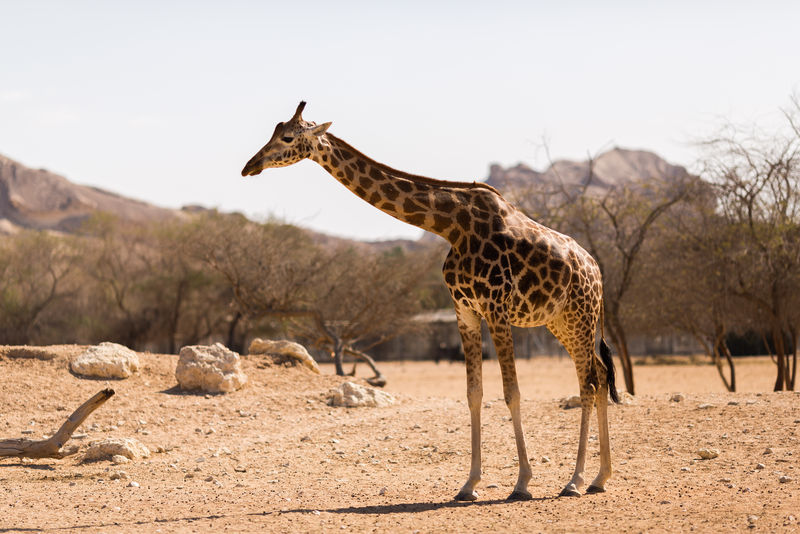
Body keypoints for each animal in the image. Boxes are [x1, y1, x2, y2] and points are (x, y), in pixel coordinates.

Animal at [241, 102, 620, 504]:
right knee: (599, 376)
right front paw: (469, 484)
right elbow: (473, 393)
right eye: (275, 131)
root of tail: (597, 272)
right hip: (561, 323)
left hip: (579, 318)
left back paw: (575, 480)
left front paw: (522, 483)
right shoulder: (465, 311)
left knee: (588, 384)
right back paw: (599, 477)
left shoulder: (496, 310)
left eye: (287, 137)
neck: (451, 225)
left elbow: (511, 393)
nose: (250, 165)